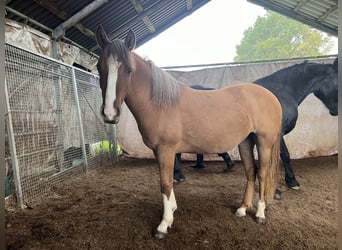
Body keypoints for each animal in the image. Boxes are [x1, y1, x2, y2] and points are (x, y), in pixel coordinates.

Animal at [95, 25, 282, 238]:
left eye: (128, 69)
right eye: (99, 67)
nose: (110, 113)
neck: (161, 104)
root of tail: (271, 96)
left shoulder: (166, 149)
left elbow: (165, 183)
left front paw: (164, 224)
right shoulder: (161, 151)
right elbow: (169, 180)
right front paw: (172, 210)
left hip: (263, 142)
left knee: (262, 173)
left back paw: (260, 213)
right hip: (245, 141)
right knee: (251, 172)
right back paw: (242, 209)